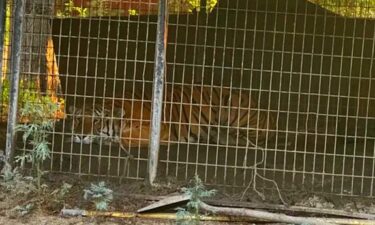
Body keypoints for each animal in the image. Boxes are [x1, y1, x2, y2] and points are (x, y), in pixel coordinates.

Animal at [68, 85, 276, 152]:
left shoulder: (158, 128)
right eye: (78, 119)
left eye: (96, 120)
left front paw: (109, 141)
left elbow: (127, 137)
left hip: (232, 104)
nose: (79, 135)